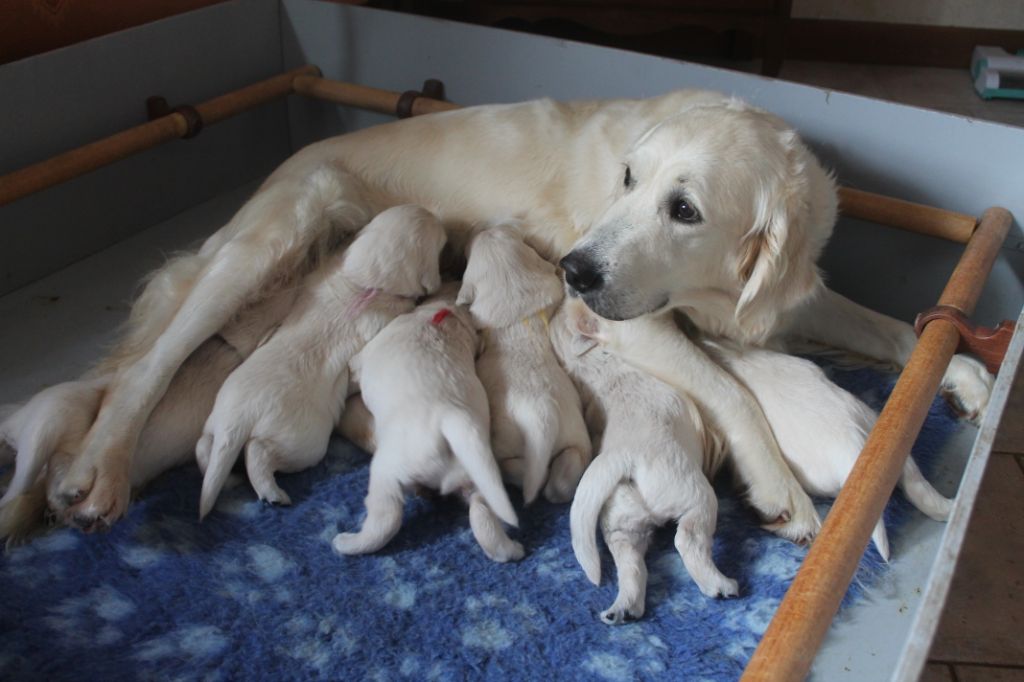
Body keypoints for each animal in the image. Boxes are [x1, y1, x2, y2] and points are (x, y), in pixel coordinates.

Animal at [195, 202, 444, 516]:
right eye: (439, 239)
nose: (433, 212)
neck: (364, 282)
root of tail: (239, 418)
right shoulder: (384, 322)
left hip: (217, 418)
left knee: (204, 450)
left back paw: (229, 480)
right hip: (302, 442)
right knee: (257, 452)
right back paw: (272, 493)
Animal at [333, 284, 520, 561]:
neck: (446, 316)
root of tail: (452, 419)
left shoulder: (363, 357)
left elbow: (352, 368)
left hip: (388, 471)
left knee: (385, 518)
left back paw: (346, 542)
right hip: (477, 475)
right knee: (483, 516)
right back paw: (513, 549)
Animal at [458, 224, 593, 503]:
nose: (484, 228)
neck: (519, 319)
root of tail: (541, 415)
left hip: (505, 443)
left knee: (519, 468)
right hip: (575, 437)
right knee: (565, 473)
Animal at [552, 296, 737, 622]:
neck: (596, 365)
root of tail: (620, 457)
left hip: (620, 520)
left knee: (630, 560)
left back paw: (622, 609)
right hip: (693, 494)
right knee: (688, 538)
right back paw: (720, 585)